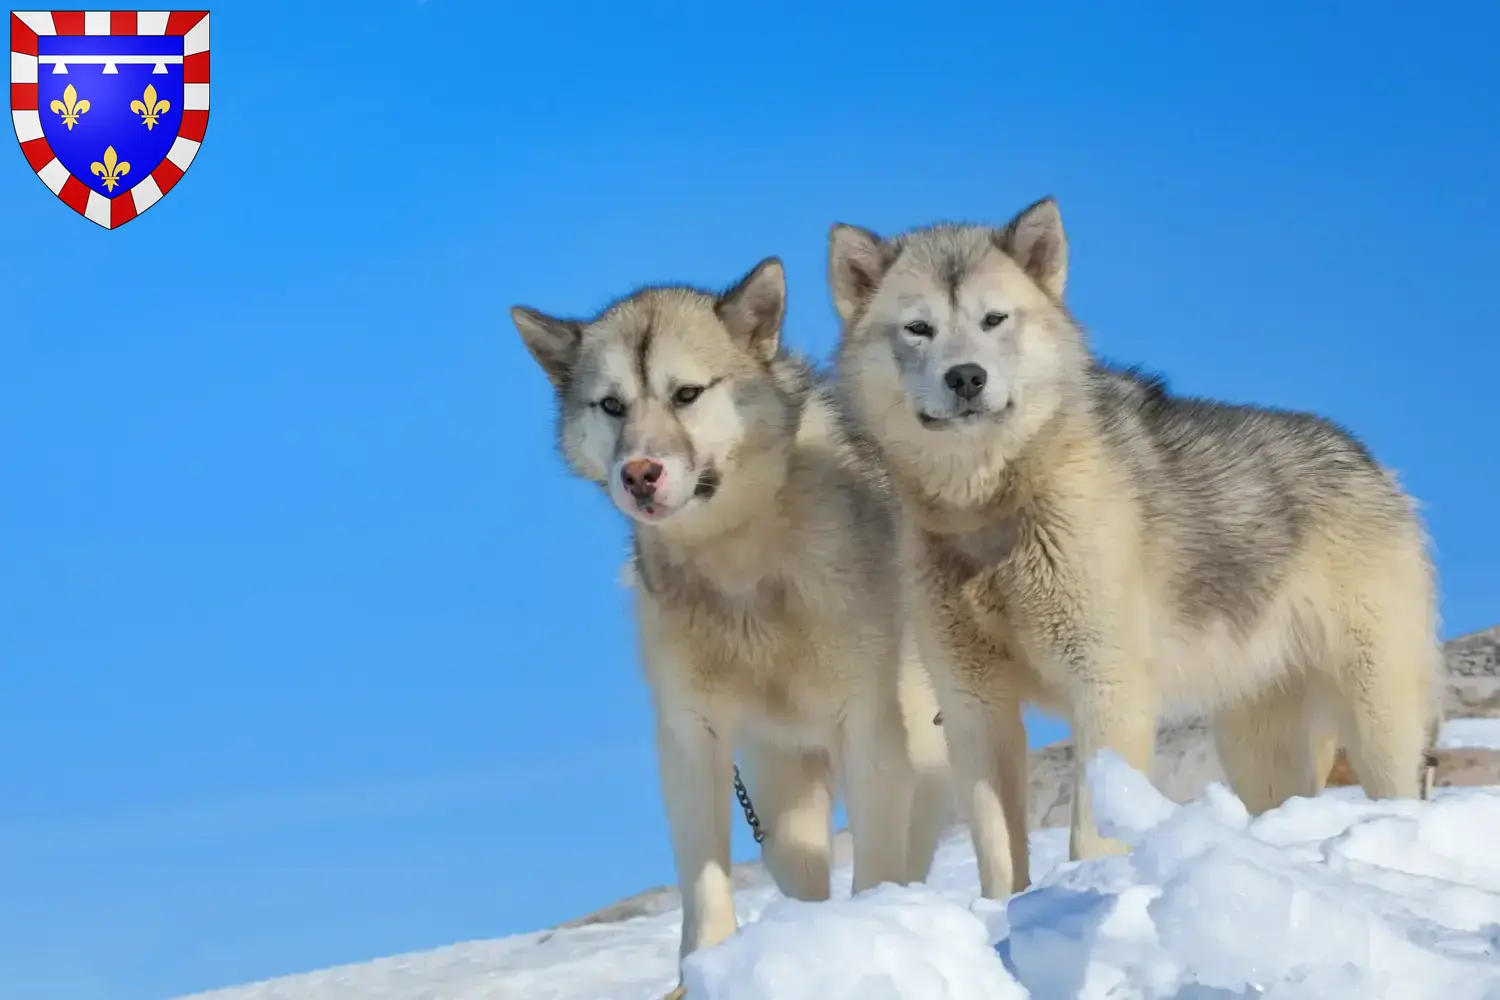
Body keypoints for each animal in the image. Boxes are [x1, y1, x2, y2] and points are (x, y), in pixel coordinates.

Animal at [504, 257, 948, 983]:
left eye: (686, 394)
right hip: (780, 782)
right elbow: (709, 881)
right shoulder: (692, 736)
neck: (741, 566)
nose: (640, 473)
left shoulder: (871, 725)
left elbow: (880, 860)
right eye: (612, 405)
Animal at [834, 197, 1440, 899]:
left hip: (1378, 717)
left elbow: (1090, 831)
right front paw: (1006, 912)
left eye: (994, 319)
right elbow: (999, 852)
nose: (966, 377)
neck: (992, 509)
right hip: (1255, 745)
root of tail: (1372, 462)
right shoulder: (973, 706)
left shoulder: (1106, 686)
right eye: (918, 328)